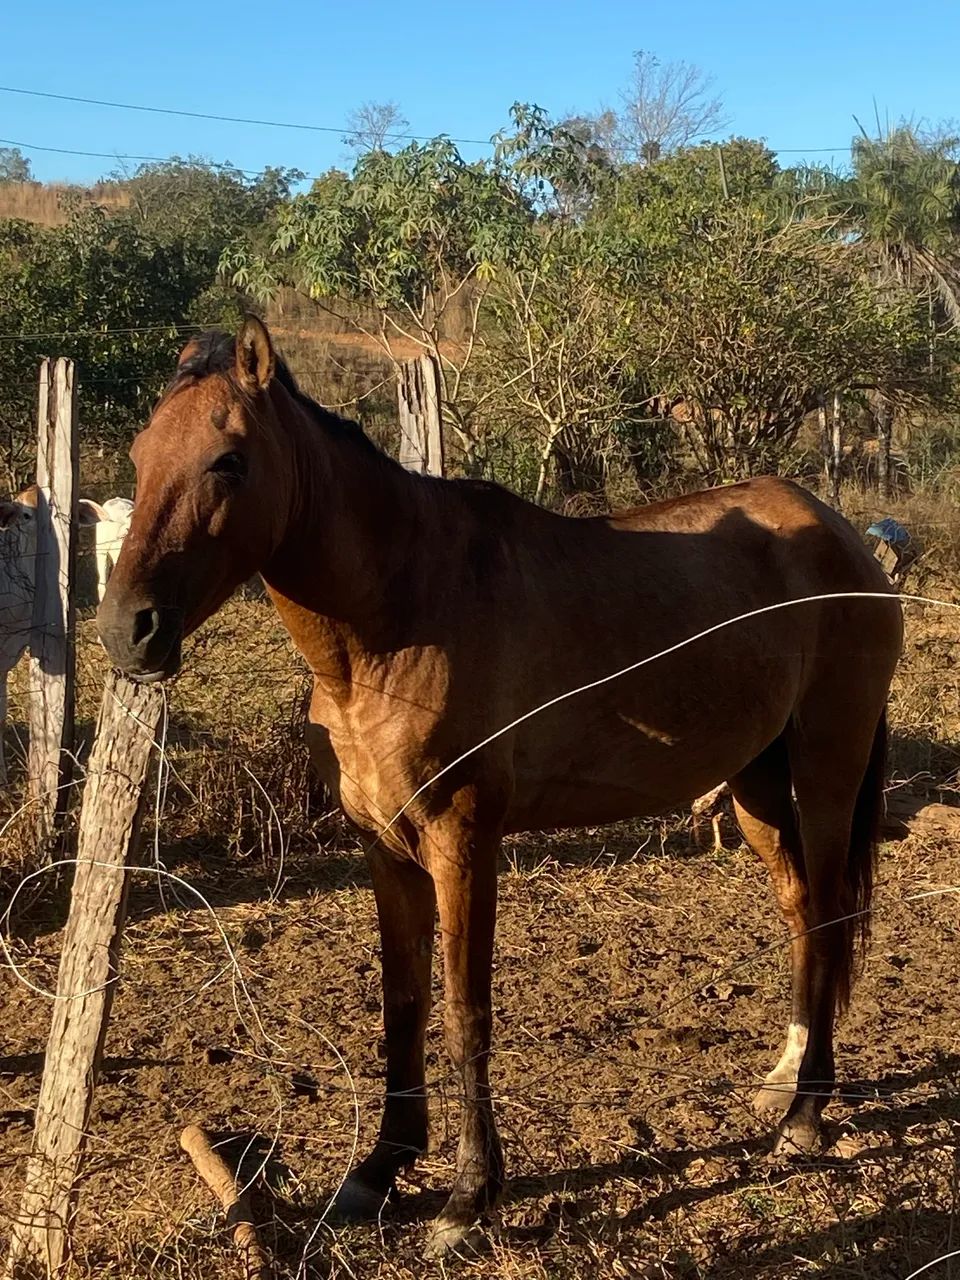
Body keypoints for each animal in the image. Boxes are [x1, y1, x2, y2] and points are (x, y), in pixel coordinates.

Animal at [98, 317, 903, 1257]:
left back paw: (807, 1116)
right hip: (757, 784)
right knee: (803, 916)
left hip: (826, 765)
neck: (396, 620)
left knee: (833, 917)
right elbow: (403, 1004)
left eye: (228, 460)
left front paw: (468, 1197)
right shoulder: (384, 849)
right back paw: (785, 1081)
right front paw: (379, 1168)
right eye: (141, 453)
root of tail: (841, 534)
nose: (125, 630)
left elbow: (464, 1013)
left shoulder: (463, 842)